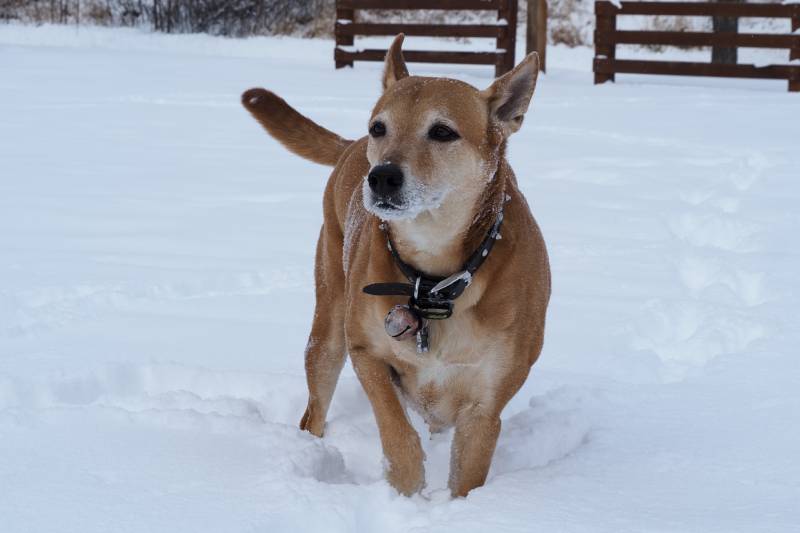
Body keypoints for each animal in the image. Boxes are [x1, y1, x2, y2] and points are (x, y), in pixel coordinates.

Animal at [241, 35, 548, 496]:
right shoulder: (366, 351)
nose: (382, 176)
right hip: (328, 326)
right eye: (379, 127)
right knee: (314, 409)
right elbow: (396, 430)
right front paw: (406, 485)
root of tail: (350, 146)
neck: (434, 281)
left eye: (442, 131)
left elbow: (468, 474)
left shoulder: (486, 400)